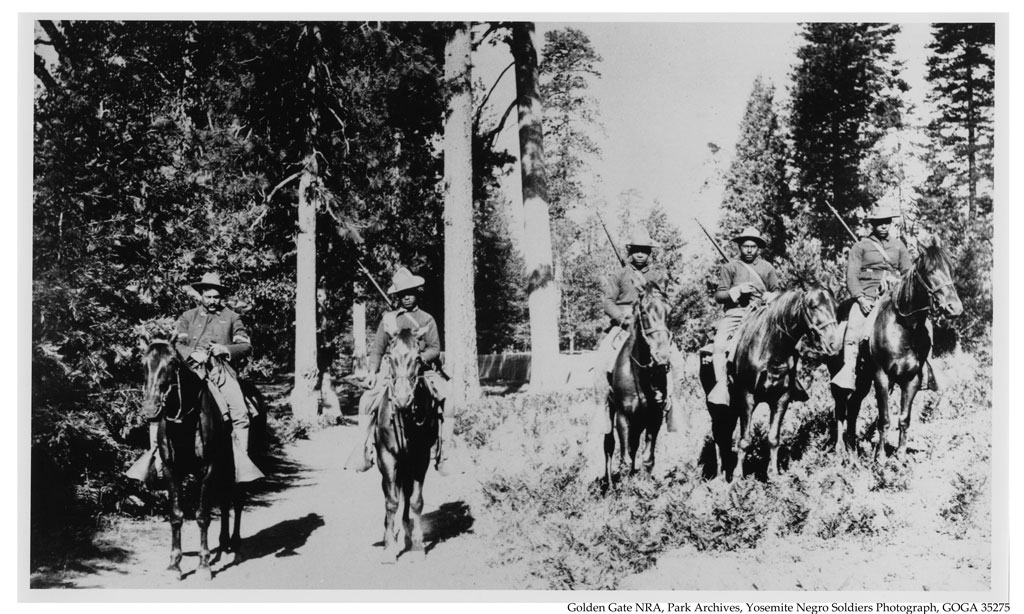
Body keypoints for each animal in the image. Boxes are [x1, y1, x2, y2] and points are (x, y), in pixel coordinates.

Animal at [139, 335, 248, 581]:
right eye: (143, 363)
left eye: (172, 363)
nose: (150, 409)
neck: (185, 423)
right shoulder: (171, 471)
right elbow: (176, 515)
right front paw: (174, 565)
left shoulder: (207, 470)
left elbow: (202, 516)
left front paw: (204, 565)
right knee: (225, 501)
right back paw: (224, 543)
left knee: (237, 500)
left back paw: (236, 548)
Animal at [376, 329, 440, 564]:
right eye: (390, 358)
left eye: (418, 359)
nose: (403, 399)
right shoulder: (387, 457)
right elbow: (391, 502)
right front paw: (388, 549)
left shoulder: (421, 458)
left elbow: (415, 501)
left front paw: (418, 545)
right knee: (390, 493)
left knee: (407, 493)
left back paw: (406, 531)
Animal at [602, 280, 675, 489]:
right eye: (643, 312)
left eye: (670, 311)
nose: (662, 357)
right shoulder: (623, 417)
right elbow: (624, 458)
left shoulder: (654, 417)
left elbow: (648, 458)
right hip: (609, 412)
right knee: (609, 445)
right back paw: (609, 485)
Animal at [704, 284, 839, 483]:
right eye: (813, 305)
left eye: (835, 306)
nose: (834, 344)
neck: (770, 348)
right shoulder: (747, 397)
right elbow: (744, 440)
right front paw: (737, 477)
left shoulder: (781, 398)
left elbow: (773, 438)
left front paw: (774, 474)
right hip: (718, 408)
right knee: (720, 436)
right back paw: (720, 476)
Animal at [827, 235, 962, 460]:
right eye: (930, 270)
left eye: (950, 269)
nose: (955, 308)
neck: (904, 329)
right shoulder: (882, 376)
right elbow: (885, 419)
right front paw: (881, 457)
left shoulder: (912, 379)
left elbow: (904, 419)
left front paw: (900, 456)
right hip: (843, 375)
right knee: (840, 406)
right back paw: (839, 448)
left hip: (863, 380)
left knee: (853, 405)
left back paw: (852, 448)